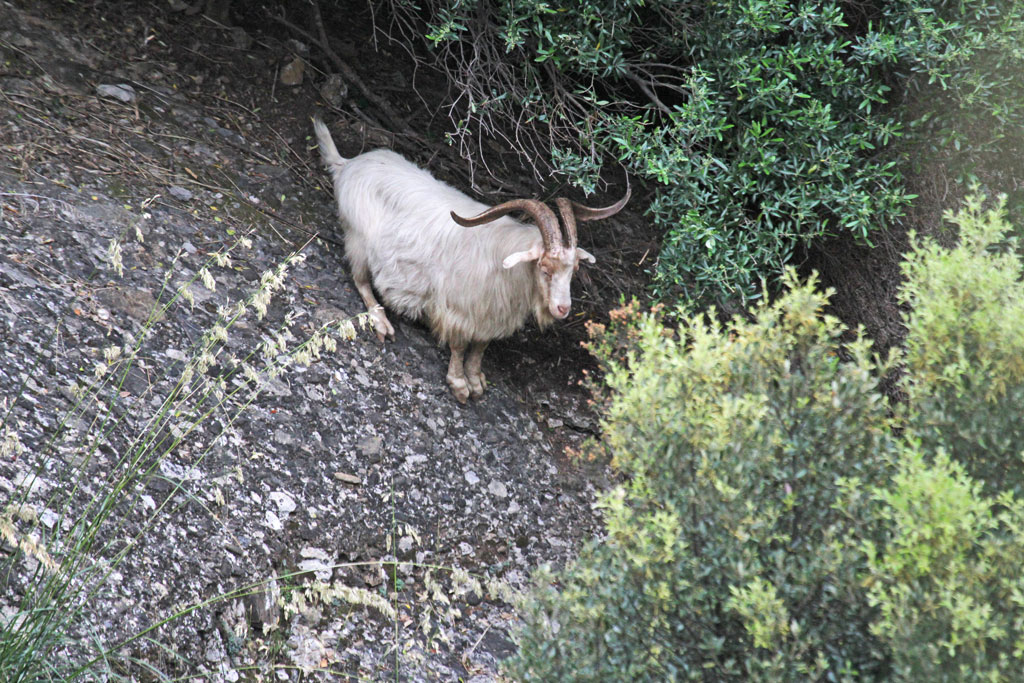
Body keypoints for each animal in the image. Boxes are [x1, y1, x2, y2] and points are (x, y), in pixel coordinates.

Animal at [313, 118, 629, 402]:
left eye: (573, 268)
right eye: (544, 267)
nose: (563, 308)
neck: (504, 260)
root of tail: (348, 164)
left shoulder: (491, 314)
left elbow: (480, 348)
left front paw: (476, 381)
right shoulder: (459, 309)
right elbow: (459, 346)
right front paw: (459, 385)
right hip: (358, 240)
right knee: (361, 280)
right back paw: (381, 322)